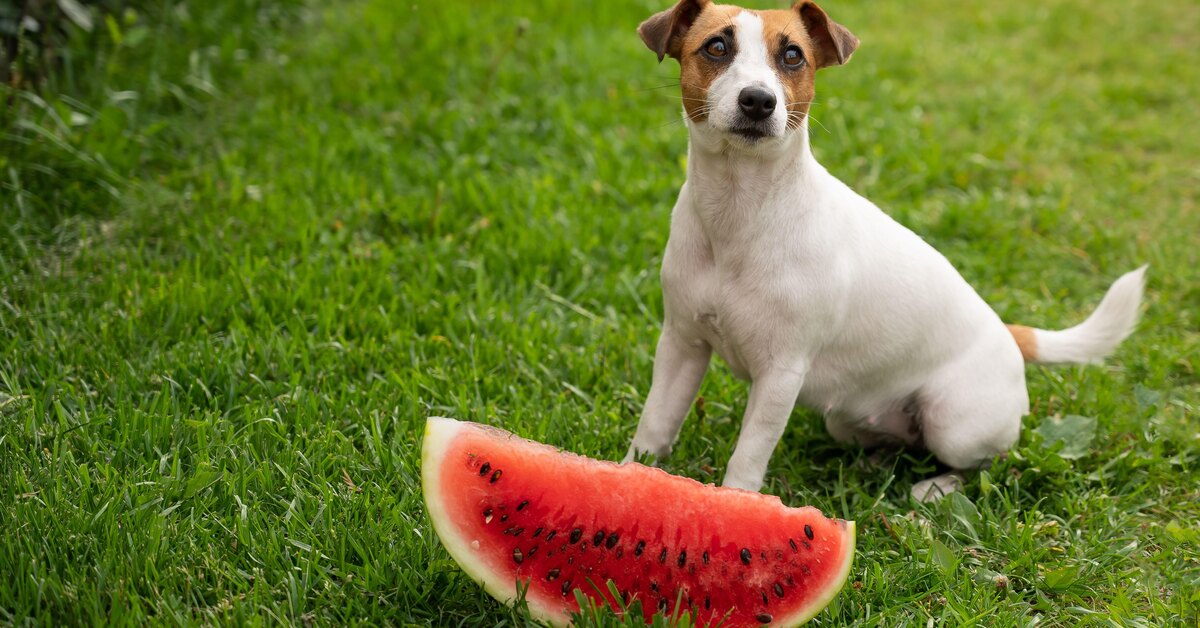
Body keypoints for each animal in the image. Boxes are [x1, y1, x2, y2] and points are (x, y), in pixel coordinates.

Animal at [619, 0, 1142, 501]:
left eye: (793, 56)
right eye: (716, 47)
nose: (759, 100)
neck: (740, 212)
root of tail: (1007, 335)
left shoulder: (780, 374)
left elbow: (748, 457)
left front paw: (738, 506)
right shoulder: (682, 345)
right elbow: (655, 423)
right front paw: (627, 478)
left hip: (954, 423)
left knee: (986, 463)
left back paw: (936, 487)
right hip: (847, 420)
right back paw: (874, 466)